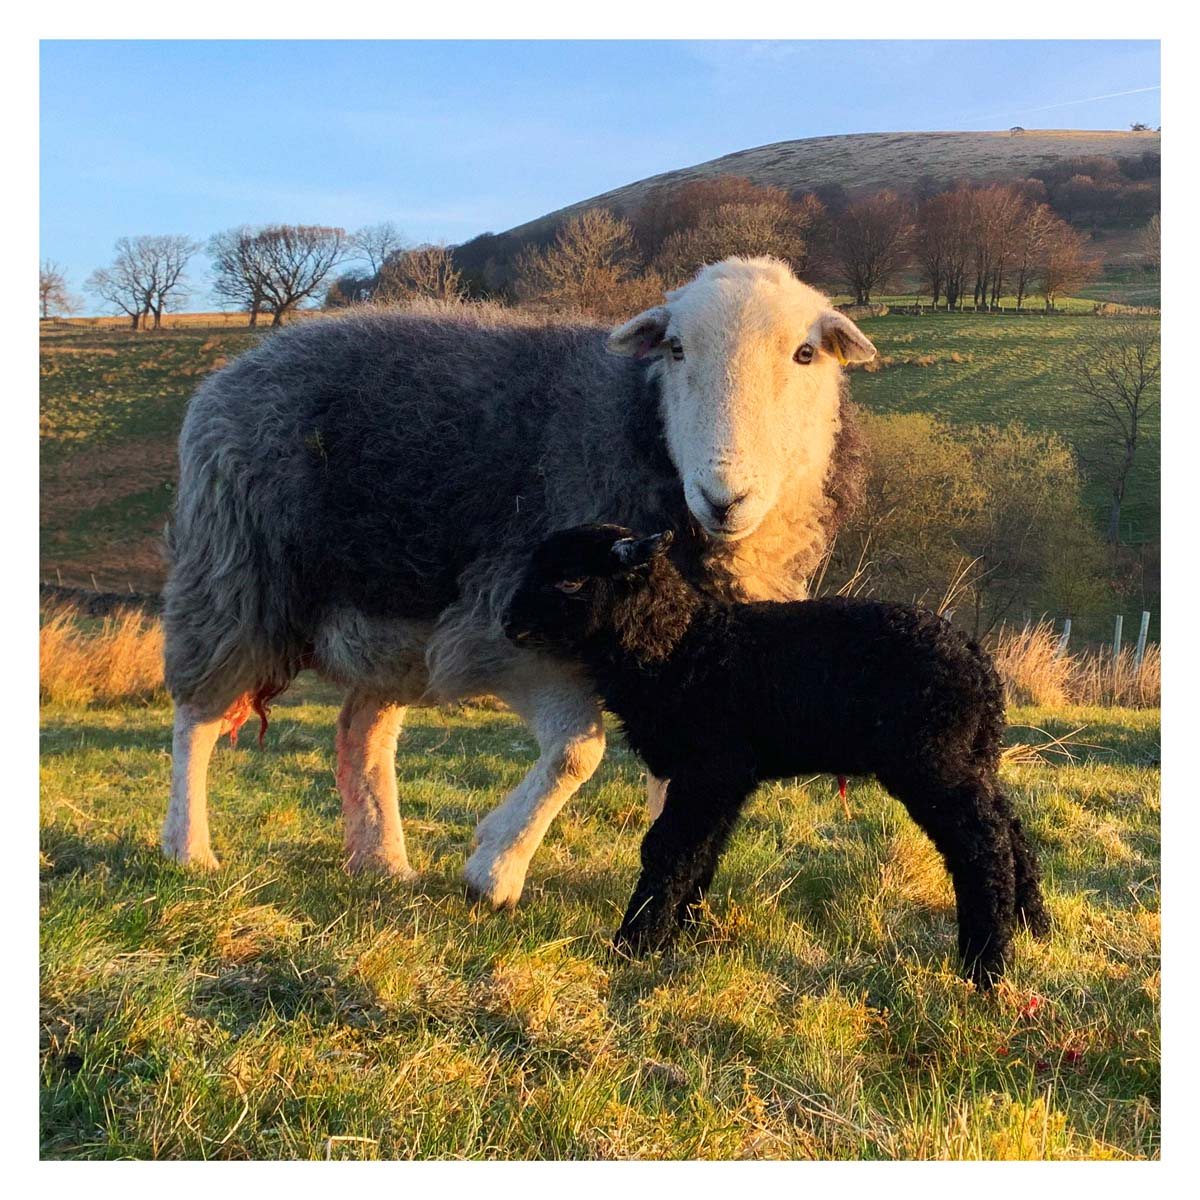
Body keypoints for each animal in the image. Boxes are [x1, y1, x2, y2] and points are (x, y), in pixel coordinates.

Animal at [501, 523, 1046, 984]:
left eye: (571, 581)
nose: (507, 623)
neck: (681, 645)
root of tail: (978, 661)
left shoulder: (710, 768)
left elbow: (669, 848)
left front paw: (635, 943)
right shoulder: (727, 777)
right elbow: (703, 850)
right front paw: (682, 932)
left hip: (932, 760)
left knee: (982, 844)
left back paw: (985, 964)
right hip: (972, 758)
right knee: (1010, 828)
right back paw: (1034, 924)